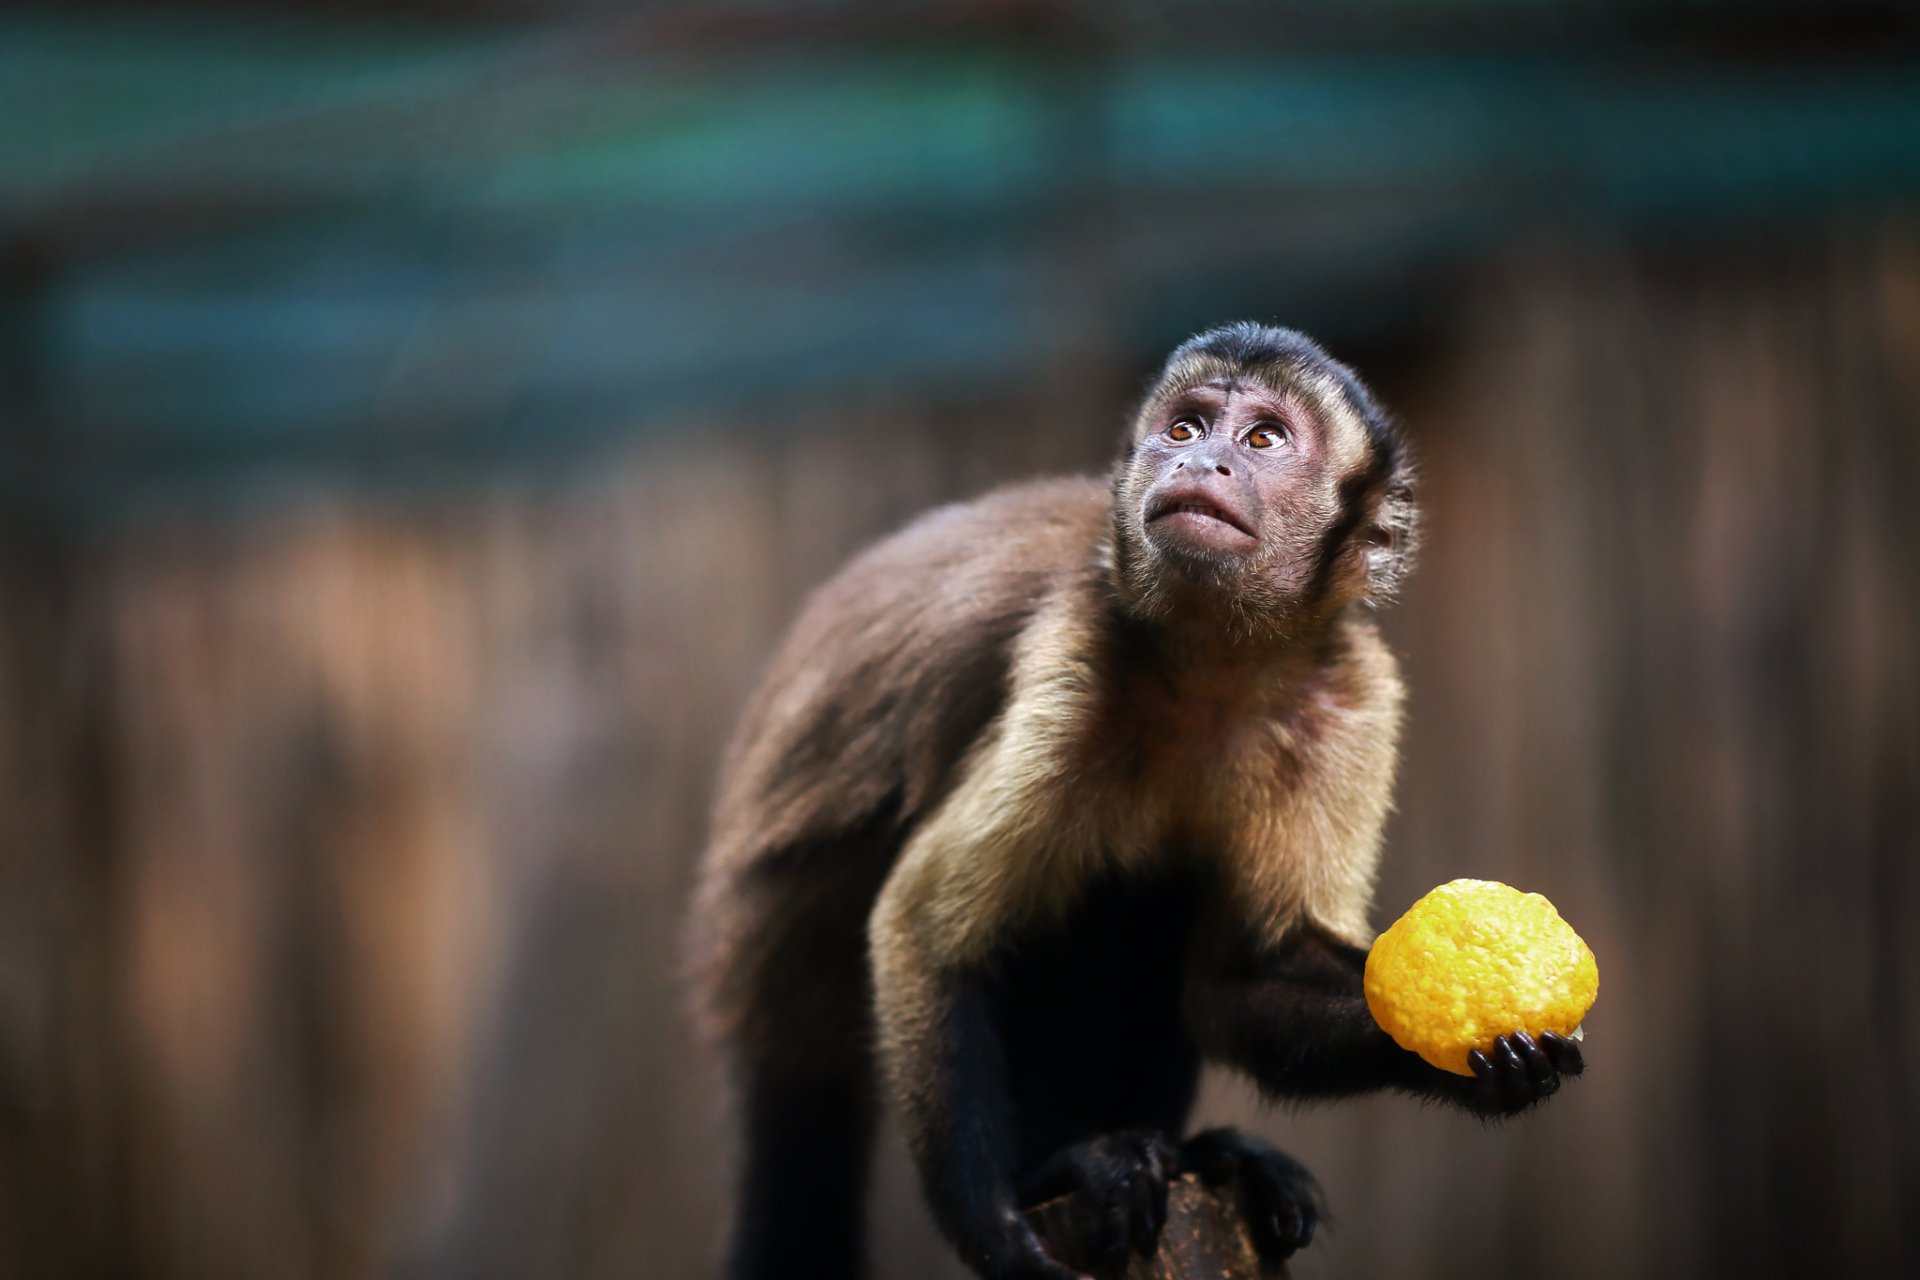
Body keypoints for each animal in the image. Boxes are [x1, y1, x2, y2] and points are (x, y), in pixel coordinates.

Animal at [689, 322, 1585, 1280]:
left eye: (1263, 439)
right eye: (1185, 428)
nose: (1202, 461)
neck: (1217, 666)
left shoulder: (1355, 695)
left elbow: (1245, 977)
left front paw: (1485, 1067)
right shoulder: (1078, 652)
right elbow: (924, 932)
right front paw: (991, 1225)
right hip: (786, 964)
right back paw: (1068, 1167)